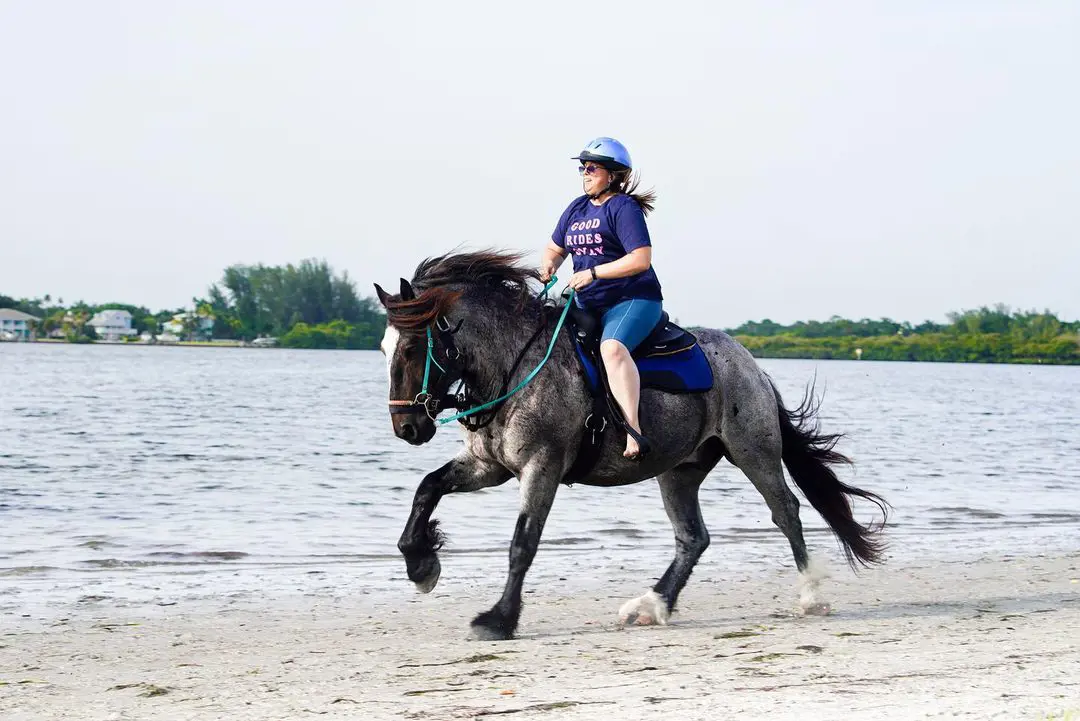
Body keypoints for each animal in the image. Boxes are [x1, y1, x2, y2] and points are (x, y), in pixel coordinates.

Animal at [375, 250, 889, 638]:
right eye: (384, 348)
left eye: (413, 348)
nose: (407, 427)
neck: (513, 363)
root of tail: (752, 365)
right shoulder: (487, 465)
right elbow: (427, 488)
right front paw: (420, 563)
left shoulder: (541, 467)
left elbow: (523, 543)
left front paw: (498, 619)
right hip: (679, 470)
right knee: (693, 538)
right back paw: (652, 605)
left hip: (754, 453)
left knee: (786, 512)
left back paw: (810, 595)